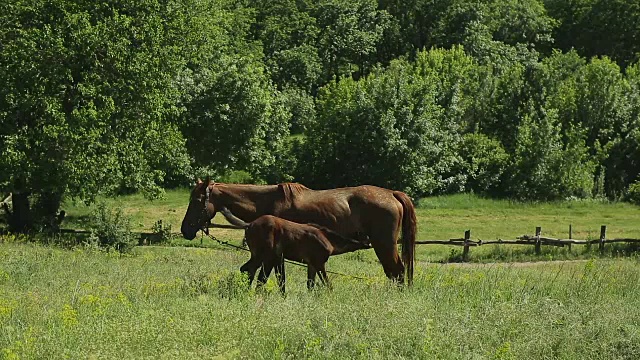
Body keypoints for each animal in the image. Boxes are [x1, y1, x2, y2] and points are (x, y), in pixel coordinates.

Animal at [228, 212, 372, 294]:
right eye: (365, 236)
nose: (370, 244)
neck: (329, 240)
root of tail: (249, 225)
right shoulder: (319, 262)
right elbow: (327, 283)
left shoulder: (311, 264)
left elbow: (310, 284)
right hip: (263, 255)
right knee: (251, 271)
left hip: (261, 256)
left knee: (247, 270)